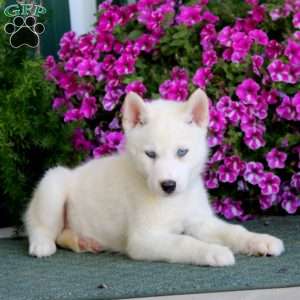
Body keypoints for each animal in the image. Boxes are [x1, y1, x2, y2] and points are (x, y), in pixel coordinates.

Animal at [25, 89, 284, 268]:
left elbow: (233, 231)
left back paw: (83, 241)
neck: (174, 202)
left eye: (182, 152)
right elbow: (184, 242)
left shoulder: (201, 221)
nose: (168, 185)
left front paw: (259, 240)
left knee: (62, 234)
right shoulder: (144, 239)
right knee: (41, 226)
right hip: (53, 184)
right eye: (150, 154)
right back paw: (42, 244)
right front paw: (213, 252)